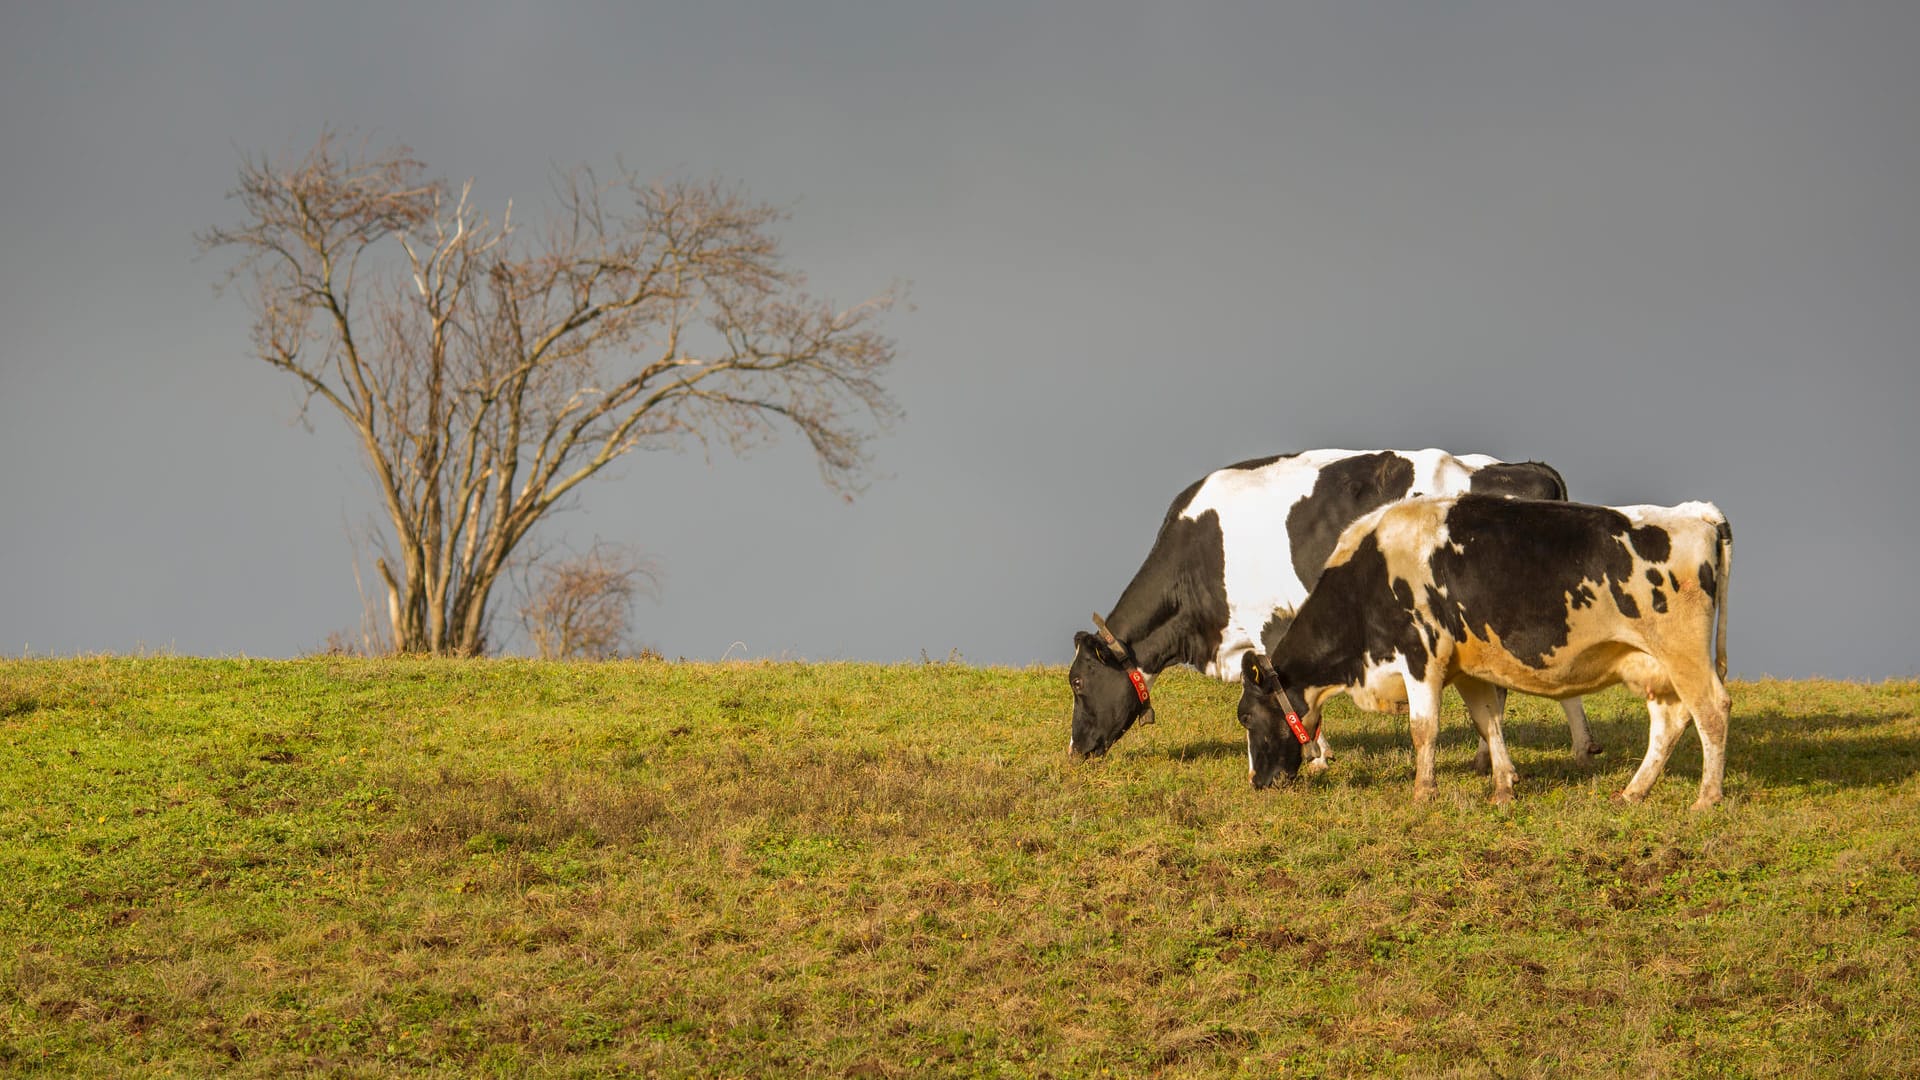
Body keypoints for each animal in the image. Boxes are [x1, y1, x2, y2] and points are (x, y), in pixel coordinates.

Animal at [1067, 445, 1605, 764]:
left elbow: (1285, 687)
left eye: (1077, 682)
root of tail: (1527, 467)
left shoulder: (1270, 619)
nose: (1074, 749)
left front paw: (1317, 756)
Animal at [1236, 491, 1735, 803]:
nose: (1258, 781)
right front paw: (1503, 788)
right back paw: (1633, 792)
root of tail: (1696, 513)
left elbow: (1424, 728)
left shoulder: (1421, 657)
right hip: (1651, 664)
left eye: (1245, 717)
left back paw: (1706, 799)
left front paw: (1423, 792)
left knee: (1711, 710)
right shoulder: (1467, 668)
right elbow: (1488, 721)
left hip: (1683, 652)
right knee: (1669, 722)